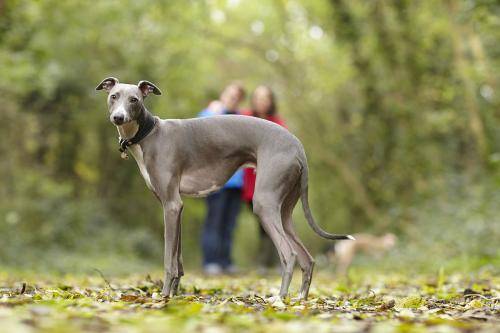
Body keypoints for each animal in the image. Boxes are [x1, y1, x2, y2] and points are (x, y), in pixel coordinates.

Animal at [94, 77, 352, 298]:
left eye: (134, 99)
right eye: (114, 96)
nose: (118, 117)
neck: (150, 134)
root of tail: (297, 146)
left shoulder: (171, 205)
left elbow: (168, 259)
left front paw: (165, 296)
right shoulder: (176, 207)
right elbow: (178, 259)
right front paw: (175, 293)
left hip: (264, 204)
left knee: (289, 254)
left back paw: (279, 299)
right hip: (285, 211)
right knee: (307, 259)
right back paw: (300, 299)